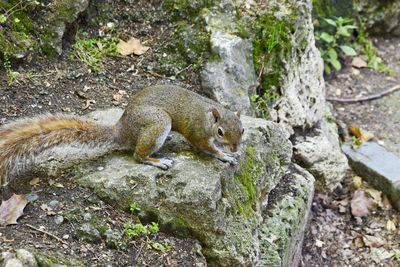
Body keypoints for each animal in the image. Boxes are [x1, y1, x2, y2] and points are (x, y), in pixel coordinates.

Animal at [0, 85, 244, 186]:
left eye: (242, 129)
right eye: (220, 132)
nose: (235, 147)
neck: (209, 115)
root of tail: (122, 130)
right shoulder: (198, 132)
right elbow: (206, 147)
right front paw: (225, 156)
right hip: (158, 123)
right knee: (138, 155)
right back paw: (158, 161)